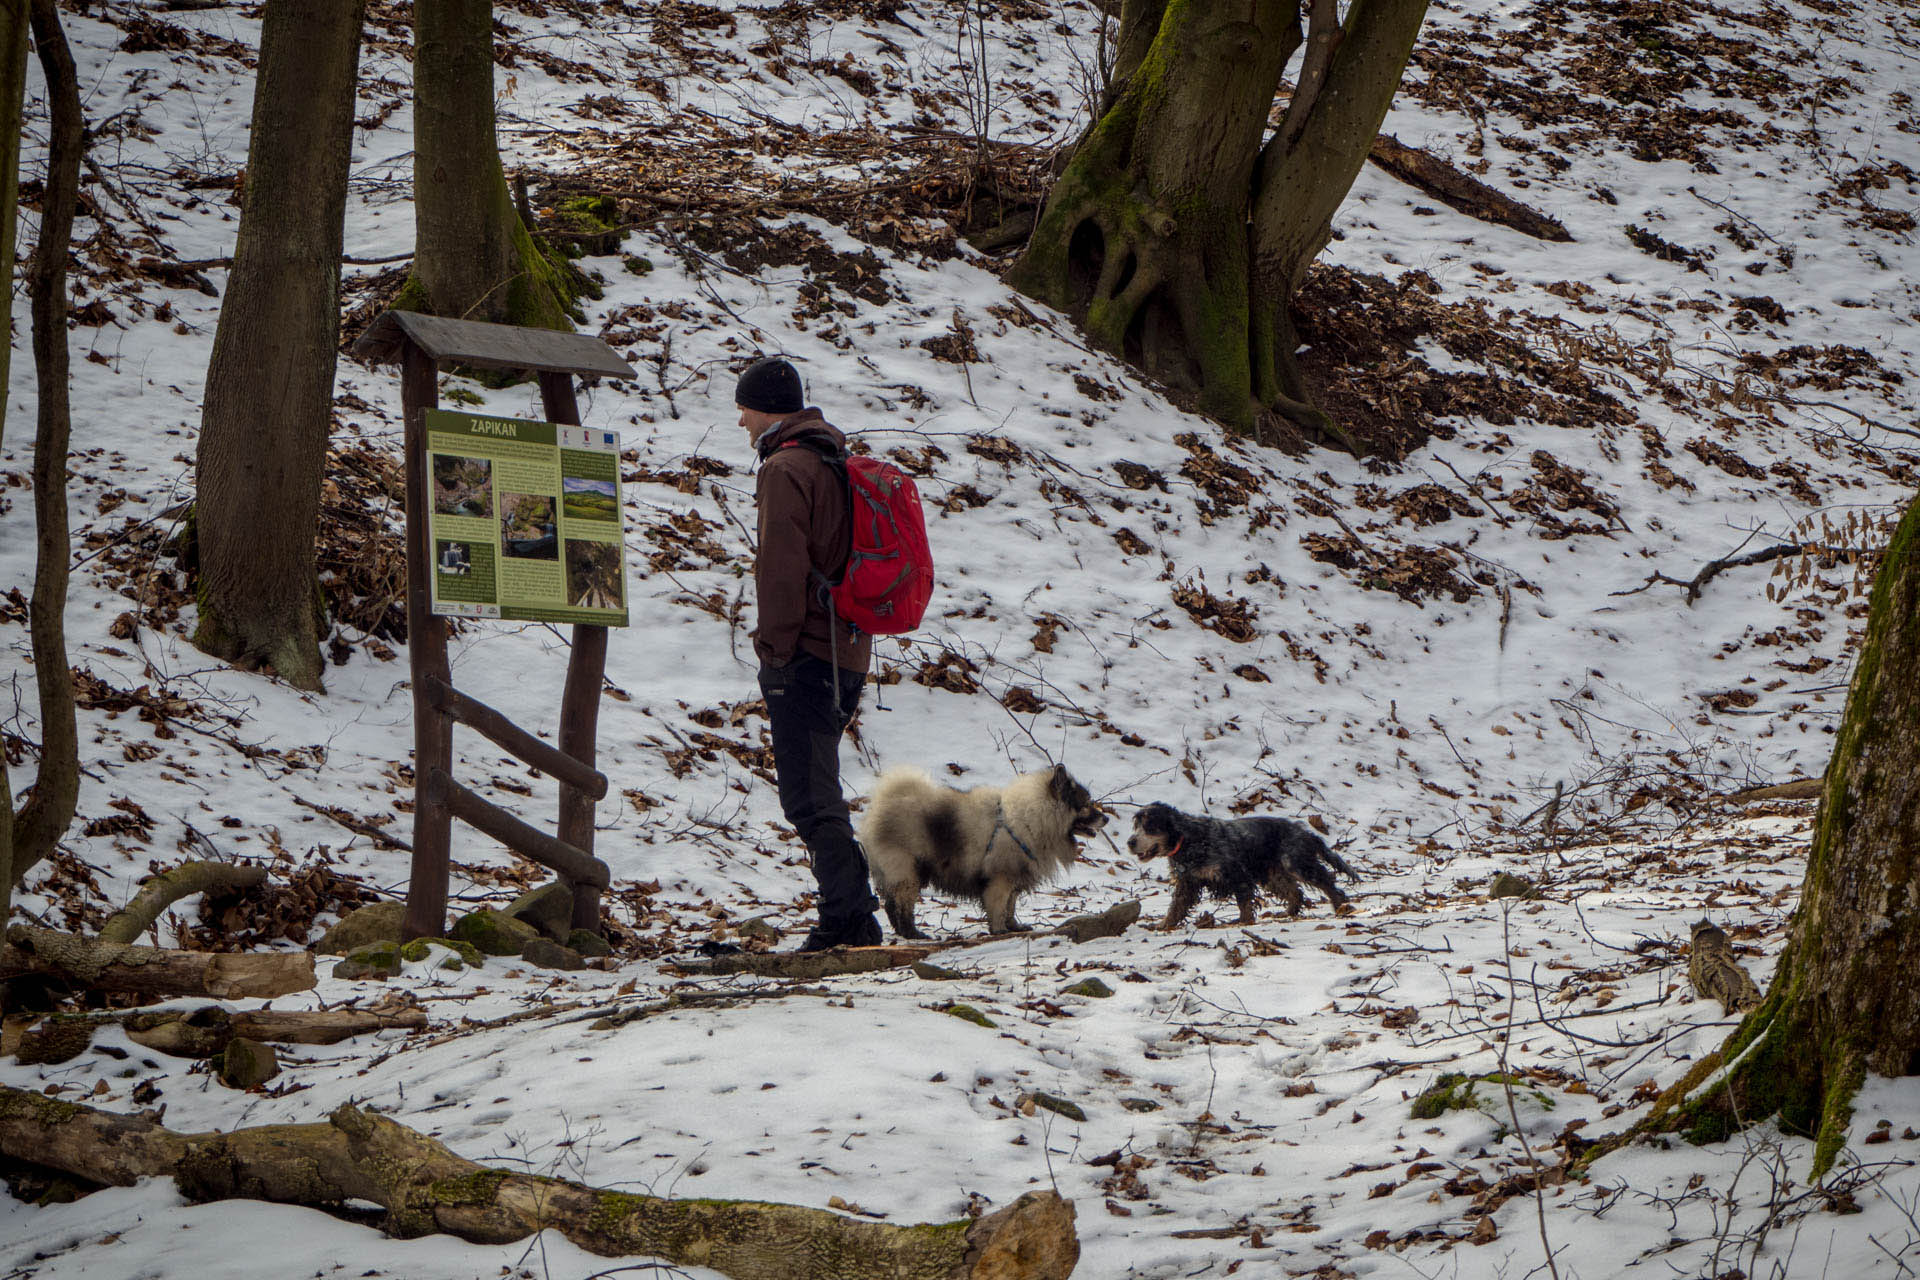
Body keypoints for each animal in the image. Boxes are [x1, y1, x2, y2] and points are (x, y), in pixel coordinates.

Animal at [1128, 802, 1359, 932]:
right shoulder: (1188, 882)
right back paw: (1287, 913)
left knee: (1327, 883)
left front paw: (1244, 921)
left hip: (1297, 864)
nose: (1130, 842)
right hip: (1274, 875)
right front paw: (1162, 925)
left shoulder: (1236, 874)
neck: (1189, 840)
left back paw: (1341, 906)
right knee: (1295, 892)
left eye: (1150, 827)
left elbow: (1244, 902)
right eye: (1136, 826)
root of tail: (1306, 833)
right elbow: (1176, 907)